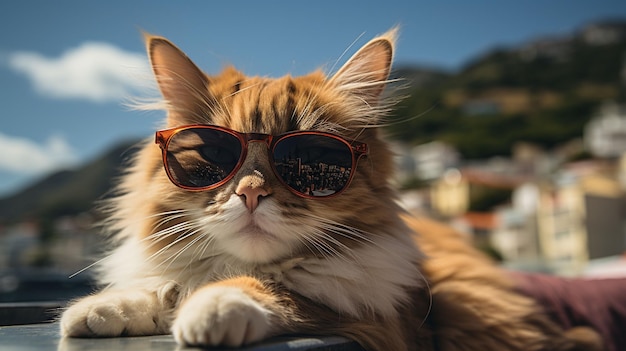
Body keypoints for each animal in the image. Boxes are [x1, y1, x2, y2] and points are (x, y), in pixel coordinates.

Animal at [59, 28, 600, 351]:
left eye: (311, 160)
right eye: (212, 155)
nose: (250, 193)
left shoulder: (381, 315)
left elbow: (271, 290)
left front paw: (210, 306)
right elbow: (163, 284)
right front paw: (105, 308)